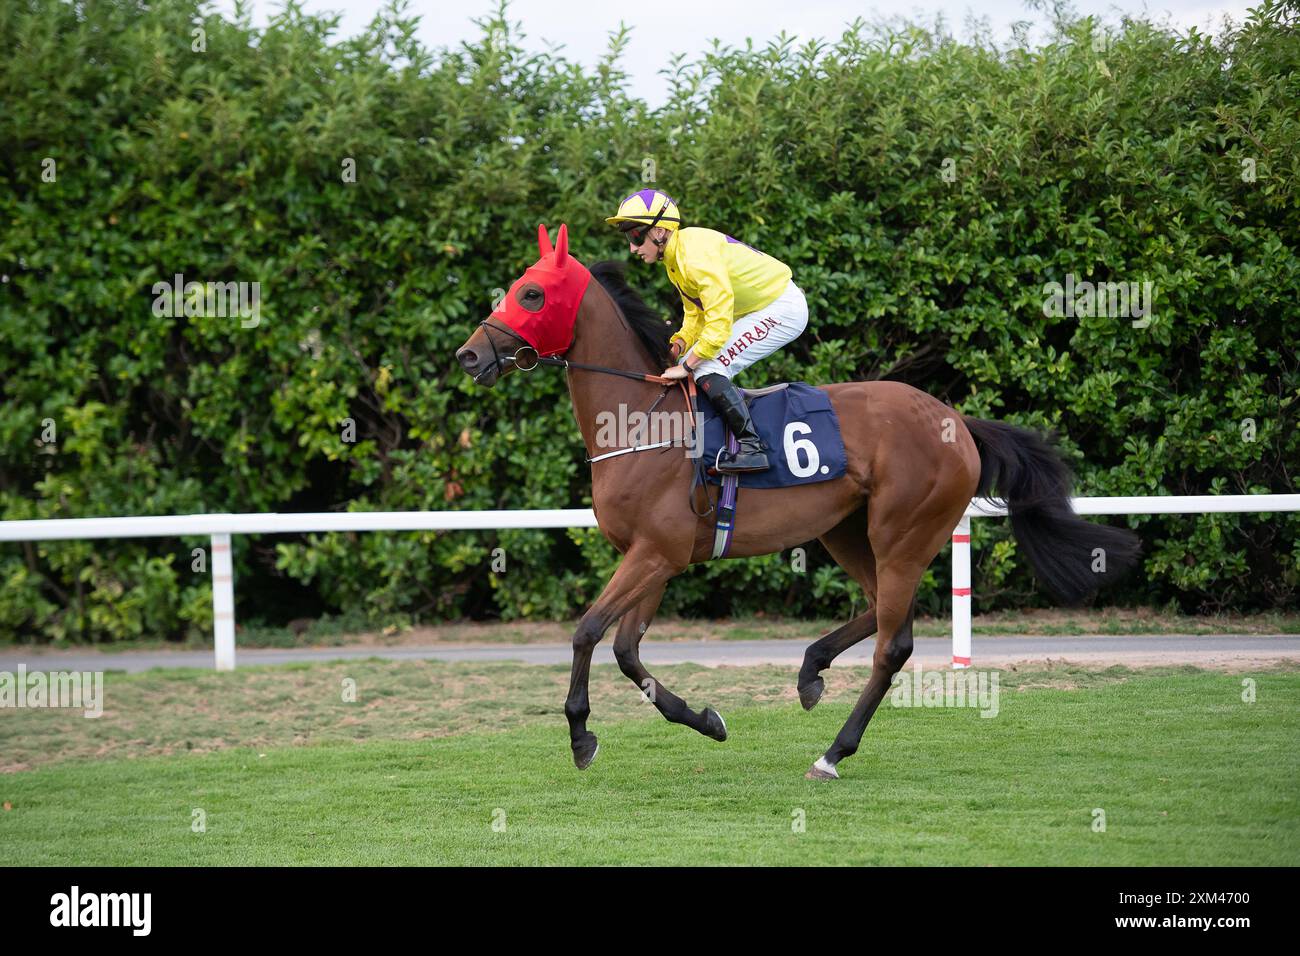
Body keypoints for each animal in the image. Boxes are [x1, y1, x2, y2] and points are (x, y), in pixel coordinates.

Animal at [454, 223, 1138, 780]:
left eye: (531, 294)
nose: (469, 355)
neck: (641, 421)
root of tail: (956, 422)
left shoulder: (655, 553)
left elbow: (586, 633)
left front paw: (580, 735)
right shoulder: (655, 556)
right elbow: (626, 651)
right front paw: (706, 720)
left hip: (904, 532)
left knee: (894, 643)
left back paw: (834, 752)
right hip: (845, 530)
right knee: (884, 613)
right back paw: (811, 671)